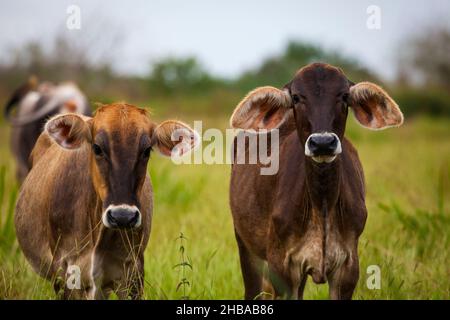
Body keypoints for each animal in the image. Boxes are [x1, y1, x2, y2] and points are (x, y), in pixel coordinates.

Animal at [230, 63, 402, 300]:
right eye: (296, 97)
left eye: (344, 96)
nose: (322, 142)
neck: (322, 206)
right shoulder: (282, 268)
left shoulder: (348, 268)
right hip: (246, 246)